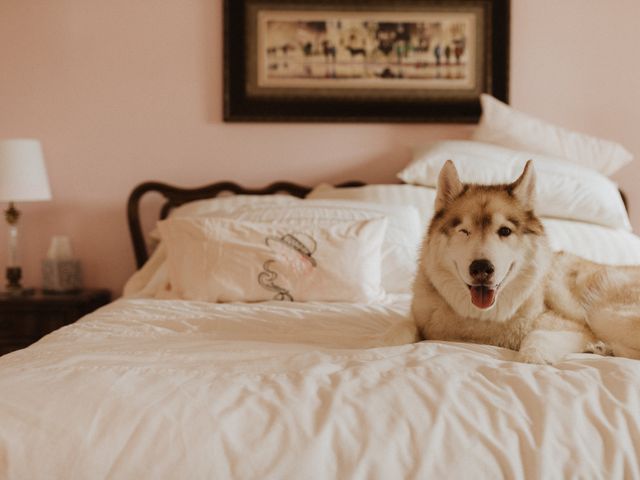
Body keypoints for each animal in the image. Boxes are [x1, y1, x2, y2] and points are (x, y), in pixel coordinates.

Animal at [412, 159, 640, 362]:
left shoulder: (575, 327)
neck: (484, 319)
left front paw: (532, 359)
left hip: (602, 312)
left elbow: (537, 336)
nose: (481, 268)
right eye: (464, 231)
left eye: (504, 231)